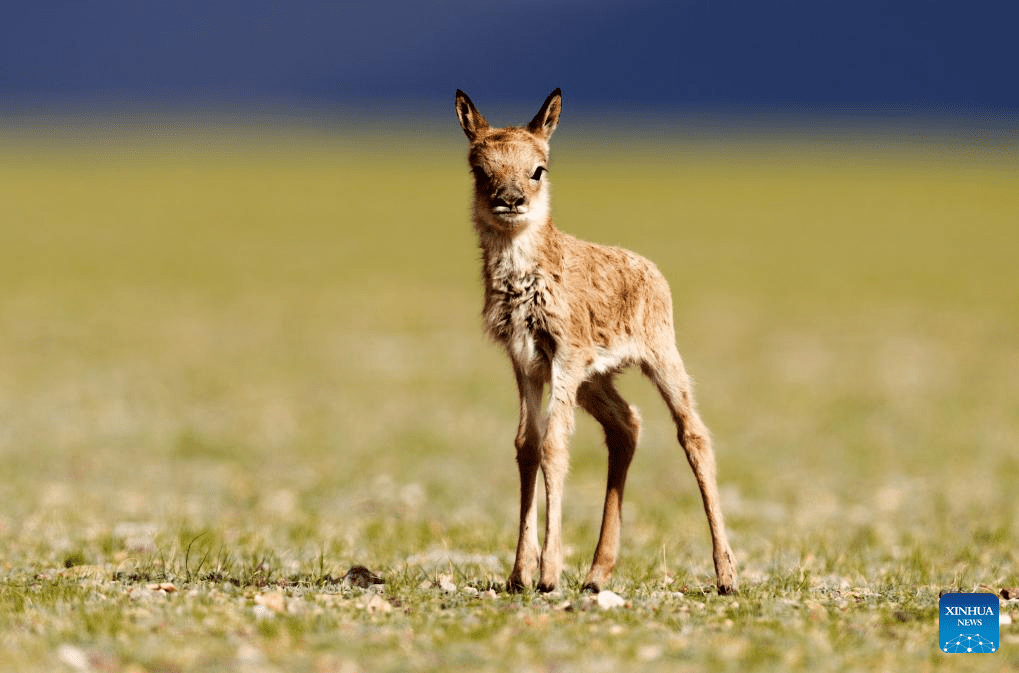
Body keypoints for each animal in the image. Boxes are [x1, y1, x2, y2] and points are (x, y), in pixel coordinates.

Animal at [458, 88, 737, 595]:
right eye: (480, 169)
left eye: (539, 168)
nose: (511, 200)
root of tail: (649, 268)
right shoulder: (527, 363)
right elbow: (526, 444)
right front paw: (519, 573)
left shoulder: (564, 358)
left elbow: (554, 445)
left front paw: (548, 573)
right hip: (596, 380)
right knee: (627, 424)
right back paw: (596, 572)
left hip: (659, 360)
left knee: (694, 434)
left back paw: (727, 575)